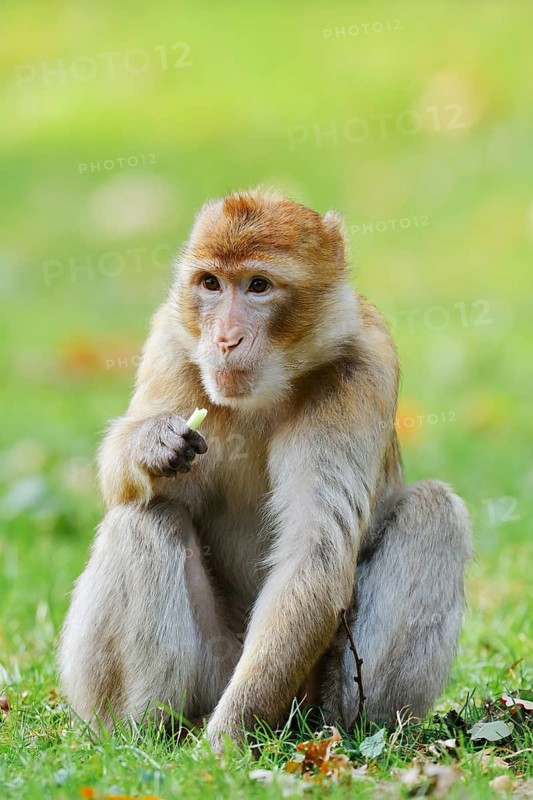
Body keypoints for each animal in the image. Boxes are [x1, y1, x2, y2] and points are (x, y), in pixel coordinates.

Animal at [58, 189, 471, 750]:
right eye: (211, 283)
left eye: (258, 286)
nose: (225, 339)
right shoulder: (172, 339)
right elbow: (119, 484)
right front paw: (151, 442)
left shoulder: (361, 370)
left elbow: (313, 555)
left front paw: (224, 743)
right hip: (212, 672)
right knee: (146, 518)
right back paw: (138, 734)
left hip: (311, 692)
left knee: (434, 510)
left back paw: (356, 729)